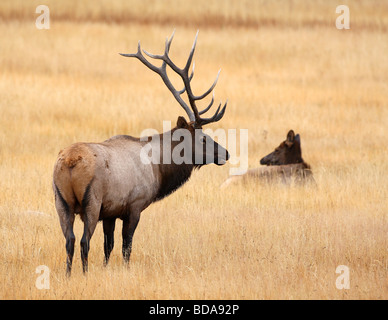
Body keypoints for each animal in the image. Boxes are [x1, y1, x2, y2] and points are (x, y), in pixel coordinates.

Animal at [51, 30, 227, 276]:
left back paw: (68, 275)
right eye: (203, 138)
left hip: (60, 201)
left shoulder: (110, 211)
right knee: (84, 241)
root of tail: (69, 161)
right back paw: (84, 275)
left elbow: (108, 246)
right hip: (91, 201)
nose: (226, 153)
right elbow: (127, 246)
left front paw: (106, 269)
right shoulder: (134, 205)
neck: (158, 168)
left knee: (69, 240)